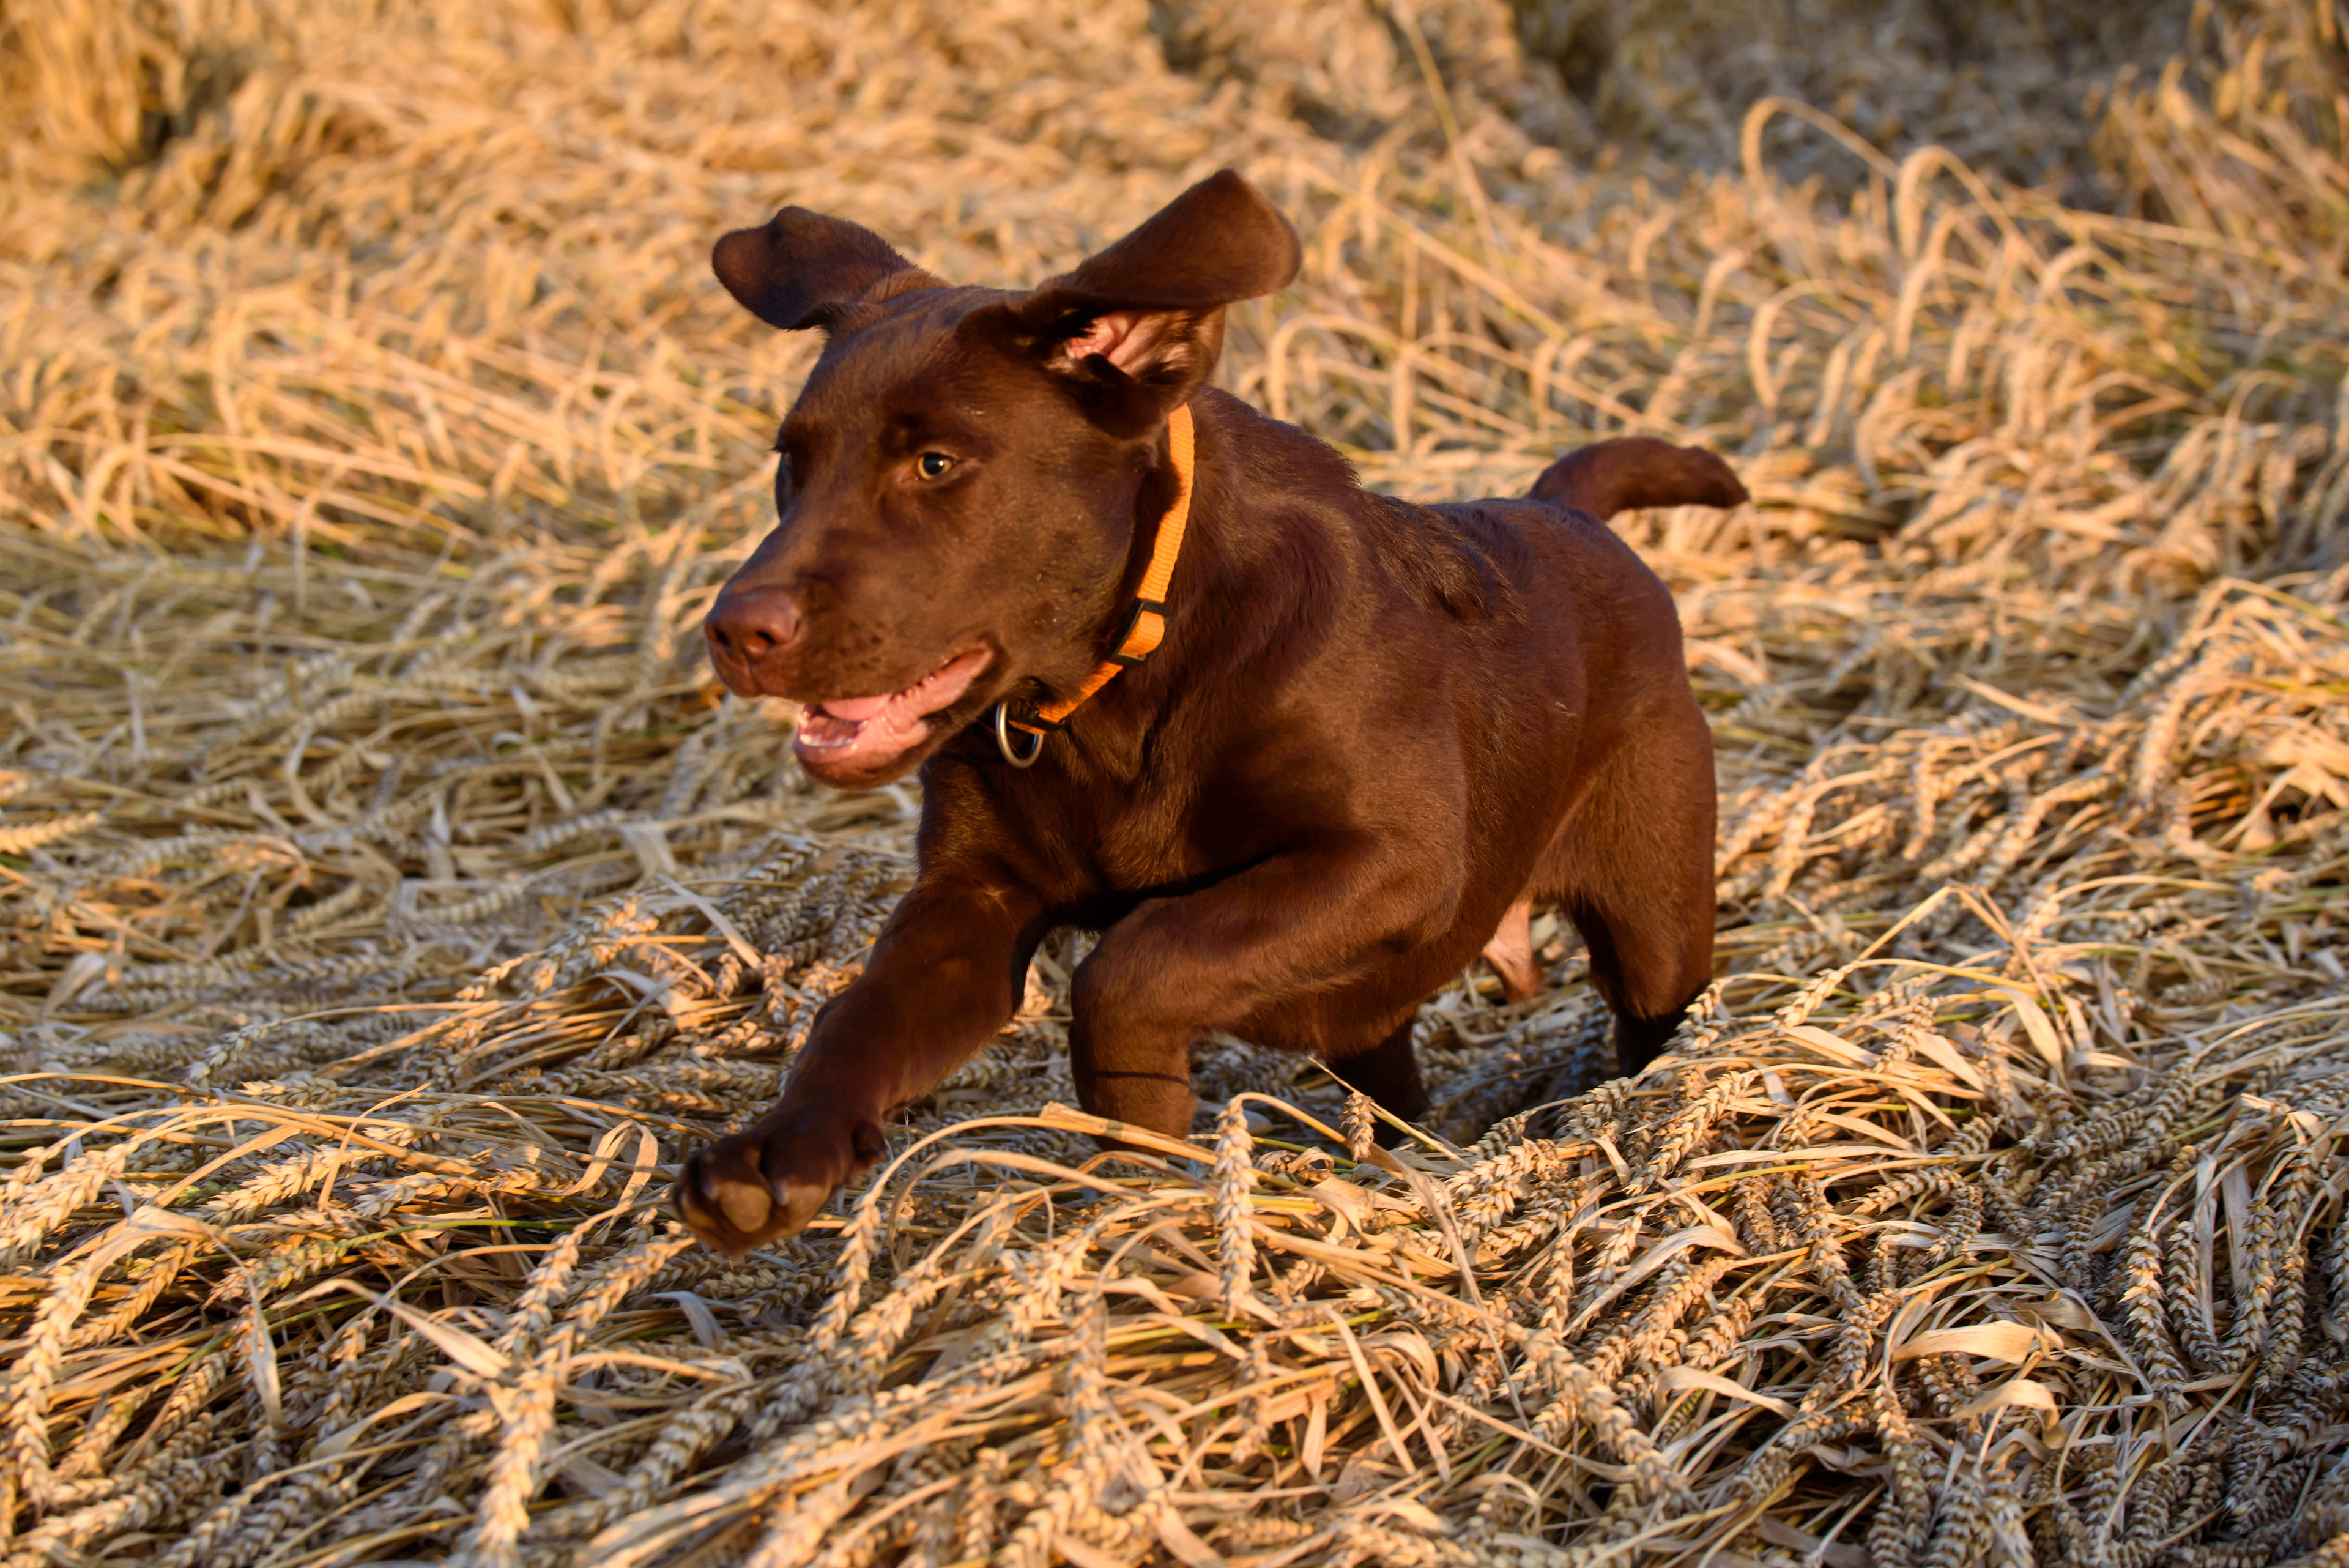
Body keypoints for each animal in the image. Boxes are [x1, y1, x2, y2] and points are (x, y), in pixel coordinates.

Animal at [676, 171, 1747, 1255]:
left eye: (935, 463)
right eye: (791, 462)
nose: (735, 630)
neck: (1113, 688)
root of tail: (1565, 512)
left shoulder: (1394, 861)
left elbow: (1133, 963)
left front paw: (1139, 1160)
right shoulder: (969, 901)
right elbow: (858, 1019)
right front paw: (777, 1153)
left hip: (1653, 920)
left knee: (1656, 1008)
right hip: (1374, 1013)